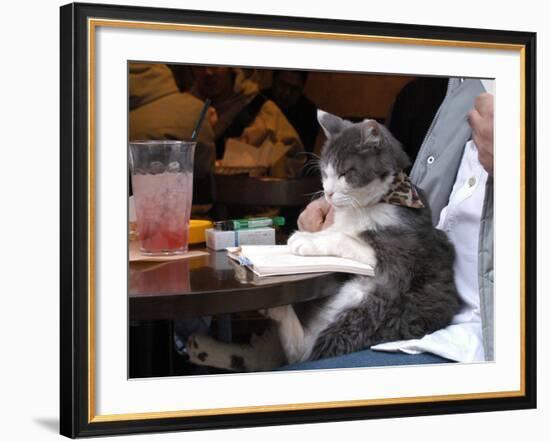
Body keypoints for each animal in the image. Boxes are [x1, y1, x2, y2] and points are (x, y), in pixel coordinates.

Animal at [188, 111, 464, 372]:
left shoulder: (399, 255)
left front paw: (303, 241)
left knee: (305, 353)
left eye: (345, 173)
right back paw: (202, 348)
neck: (367, 205)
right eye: (325, 172)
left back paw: (278, 312)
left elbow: (344, 238)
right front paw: (308, 234)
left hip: (370, 305)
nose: (328, 193)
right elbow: (334, 230)